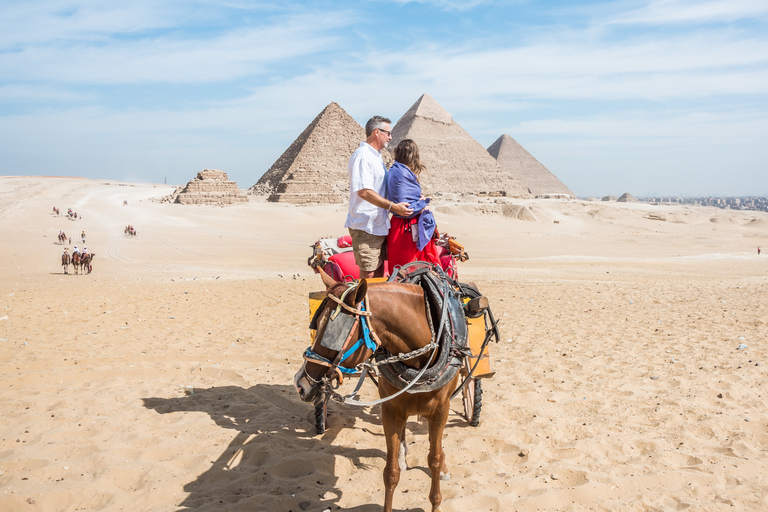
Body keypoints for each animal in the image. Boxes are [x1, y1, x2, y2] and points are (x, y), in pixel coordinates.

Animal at [294, 268, 462, 512]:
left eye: (332, 335)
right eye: (316, 326)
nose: (300, 383)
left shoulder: (441, 410)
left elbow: (435, 459)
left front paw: (436, 501)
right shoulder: (390, 410)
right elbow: (391, 472)